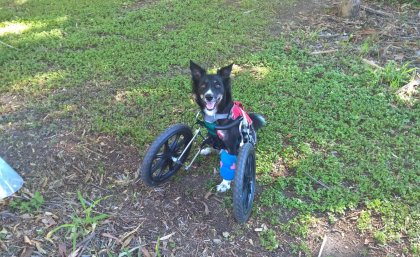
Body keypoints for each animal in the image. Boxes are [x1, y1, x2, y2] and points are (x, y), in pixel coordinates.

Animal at [190, 61, 266, 191]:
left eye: (218, 85)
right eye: (203, 85)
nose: (209, 96)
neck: (217, 115)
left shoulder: (231, 144)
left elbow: (229, 166)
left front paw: (225, 184)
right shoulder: (213, 134)